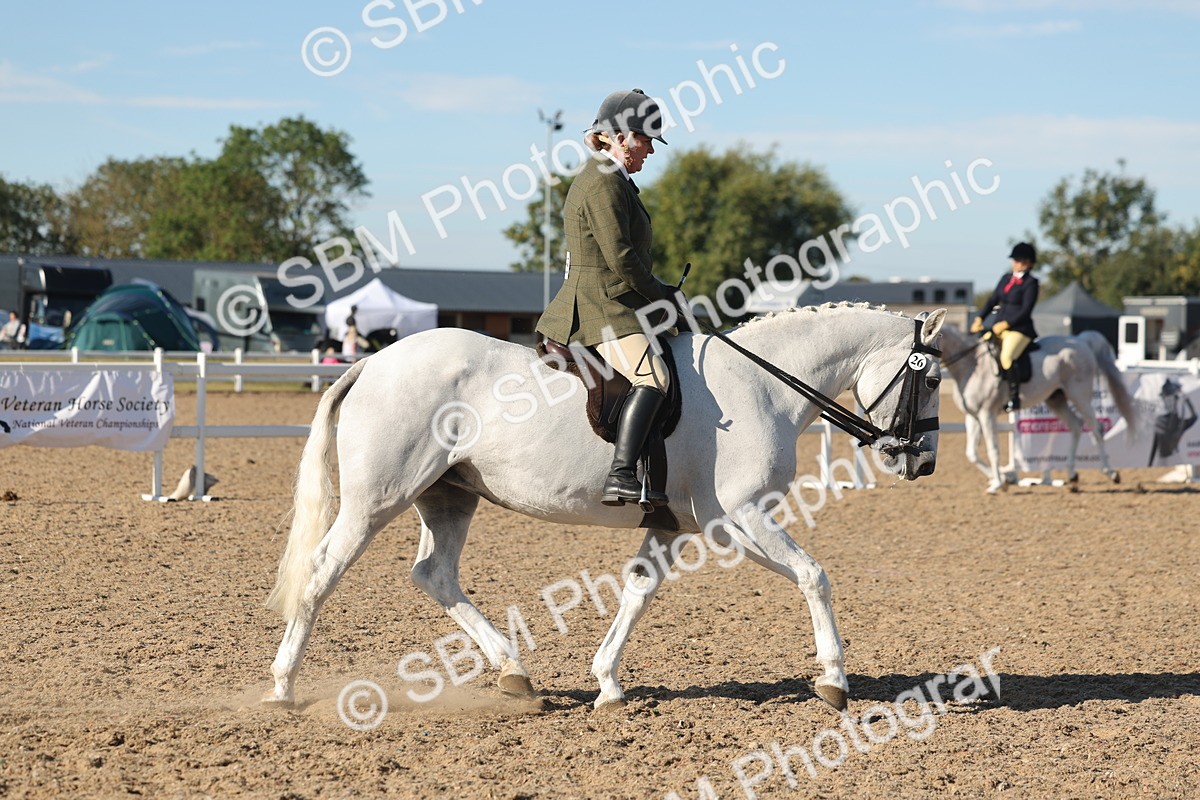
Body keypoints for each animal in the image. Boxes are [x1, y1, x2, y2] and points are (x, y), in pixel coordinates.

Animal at [263, 302, 948, 712]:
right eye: (934, 380)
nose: (924, 463)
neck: (761, 386)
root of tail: (374, 360)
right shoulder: (740, 517)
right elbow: (814, 575)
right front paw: (833, 681)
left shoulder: (673, 526)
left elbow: (638, 591)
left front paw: (608, 684)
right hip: (377, 500)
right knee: (321, 573)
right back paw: (282, 685)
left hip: (448, 496)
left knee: (434, 575)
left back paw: (515, 674)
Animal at [939, 324, 1137, 493]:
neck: (972, 365)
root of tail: (1081, 340)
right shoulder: (973, 416)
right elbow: (971, 453)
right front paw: (1002, 479)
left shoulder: (987, 414)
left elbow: (993, 450)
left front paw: (998, 483)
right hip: (1056, 399)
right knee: (1076, 425)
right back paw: (1072, 474)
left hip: (1079, 394)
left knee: (1096, 427)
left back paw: (1111, 473)